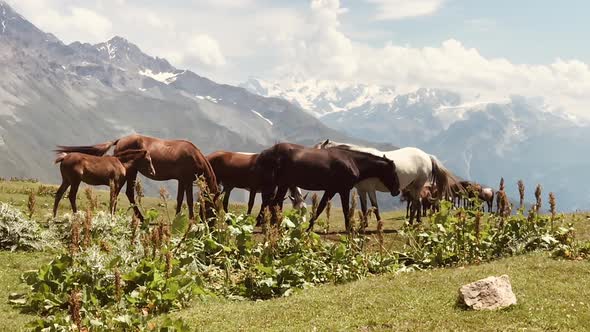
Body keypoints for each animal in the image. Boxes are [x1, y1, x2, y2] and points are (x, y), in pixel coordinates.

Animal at [55, 134, 220, 222]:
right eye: (215, 208)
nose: (211, 224)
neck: (194, 155)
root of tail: (120, 140)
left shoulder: (181, 180)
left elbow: (181, 200)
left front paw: (177, 218)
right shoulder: (187, 179)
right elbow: (190, 201)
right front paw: (190, 219)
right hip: (131, 172)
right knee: (128, 193)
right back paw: (140, 217)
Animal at [256, 142, 402, 231]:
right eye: (393, 172)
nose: (397, 191)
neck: (351, 161)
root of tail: (265, 153)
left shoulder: (331, 190)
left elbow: (320, 208)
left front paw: (309, 228)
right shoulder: (343, 190)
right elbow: (345, 210)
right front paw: (349, 229)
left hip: (281, 185)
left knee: (273, 204)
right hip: (278, 185)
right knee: (273, 204)